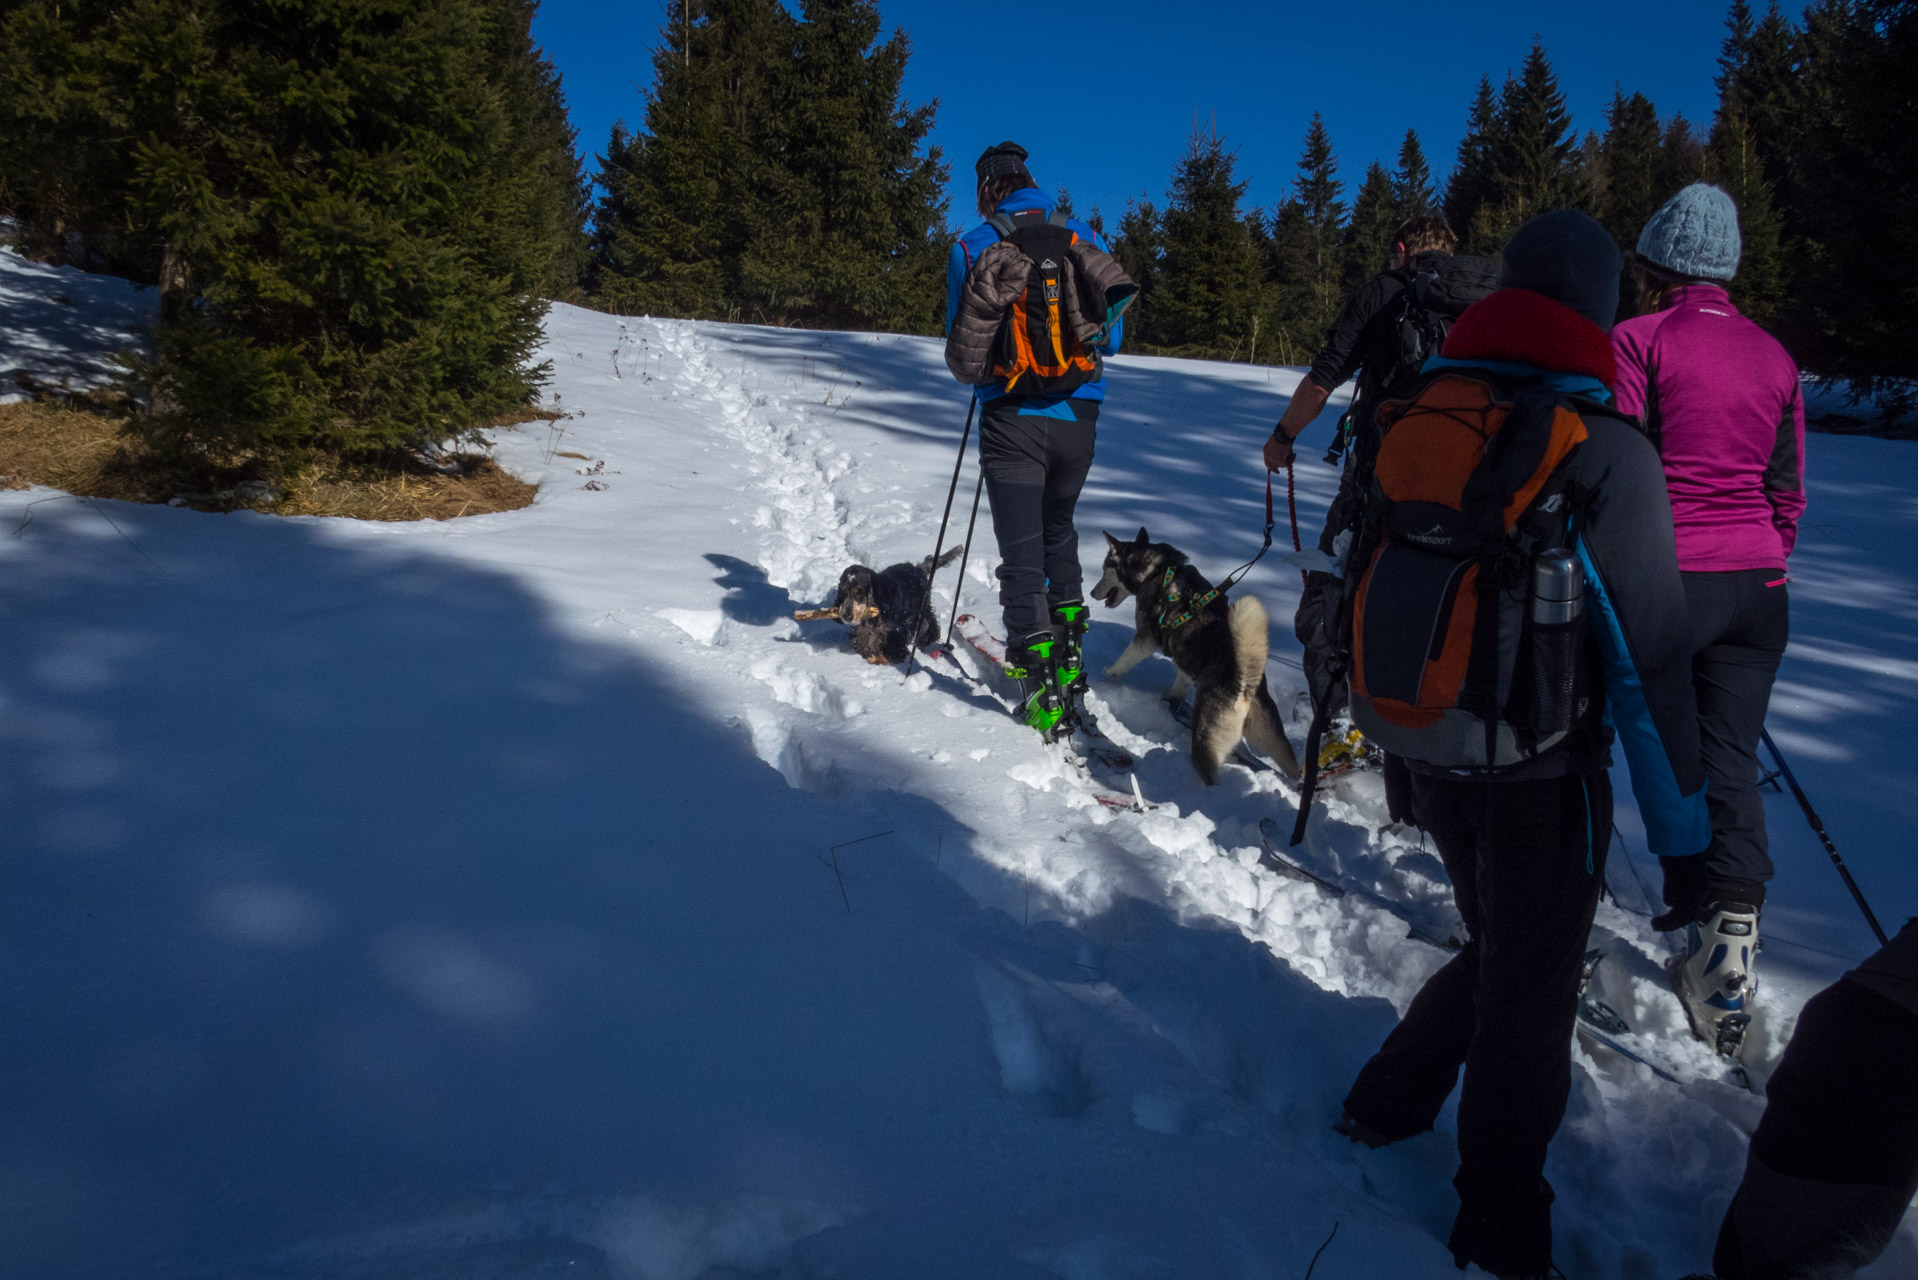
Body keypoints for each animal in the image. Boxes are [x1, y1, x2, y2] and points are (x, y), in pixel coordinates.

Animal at [790, 545, 959, 667]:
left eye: (859, 592)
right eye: (842, 592)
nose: (846, 616)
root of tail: (918, 568)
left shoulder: (895, 631)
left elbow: (892, 650)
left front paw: (878, 659)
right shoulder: (864, 630)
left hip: (921, 609)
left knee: (930, 624)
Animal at [1097, 529, 1304, 786]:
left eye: (1104, 569)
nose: (1092, 592)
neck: (1158, 570)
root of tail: (1244, 686)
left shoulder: (1144, 640)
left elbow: (1125, 660)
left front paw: (1109, 673)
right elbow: (1179, 683)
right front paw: (1170, 700)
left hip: (1206, 742)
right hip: (1272, 737)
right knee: (1293, 770)